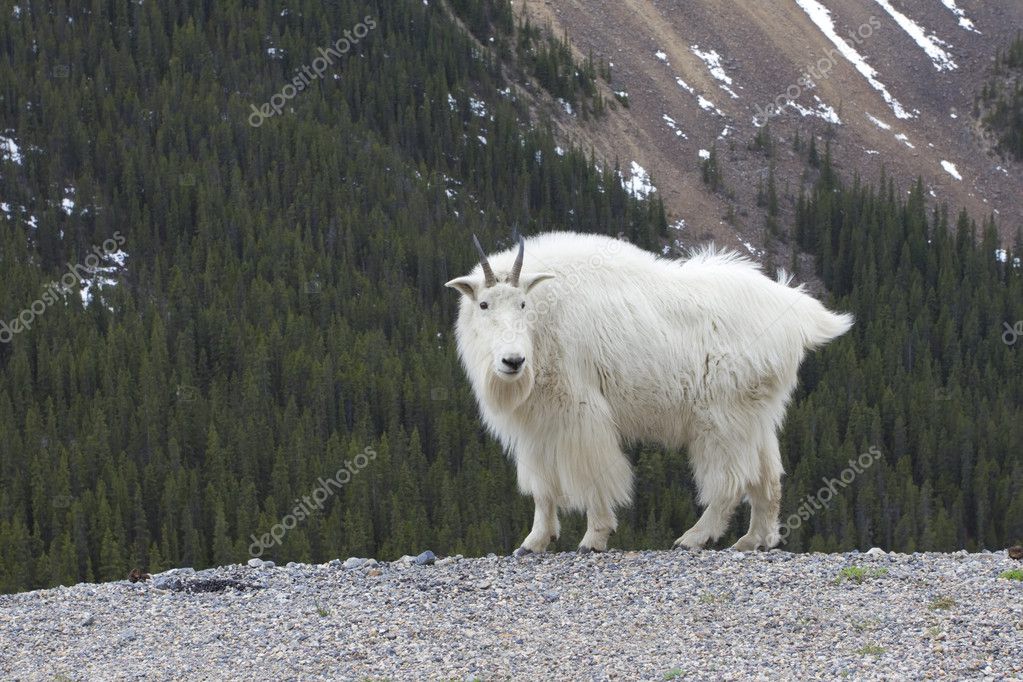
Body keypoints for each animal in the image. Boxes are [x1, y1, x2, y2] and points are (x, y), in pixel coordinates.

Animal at [443, 232, 851, 552]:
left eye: (522, 303)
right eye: (483, 304)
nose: (513, 361)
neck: (545, 318)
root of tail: (796, 313)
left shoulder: (580, 413)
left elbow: (593, 474)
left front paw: (595, 536)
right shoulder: (535, 427)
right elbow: (542, 487)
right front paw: (533, 542)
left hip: (722, 414)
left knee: (730, 480)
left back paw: (694, 537)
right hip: (757, 412)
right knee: (767, 475)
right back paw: (754, 540)